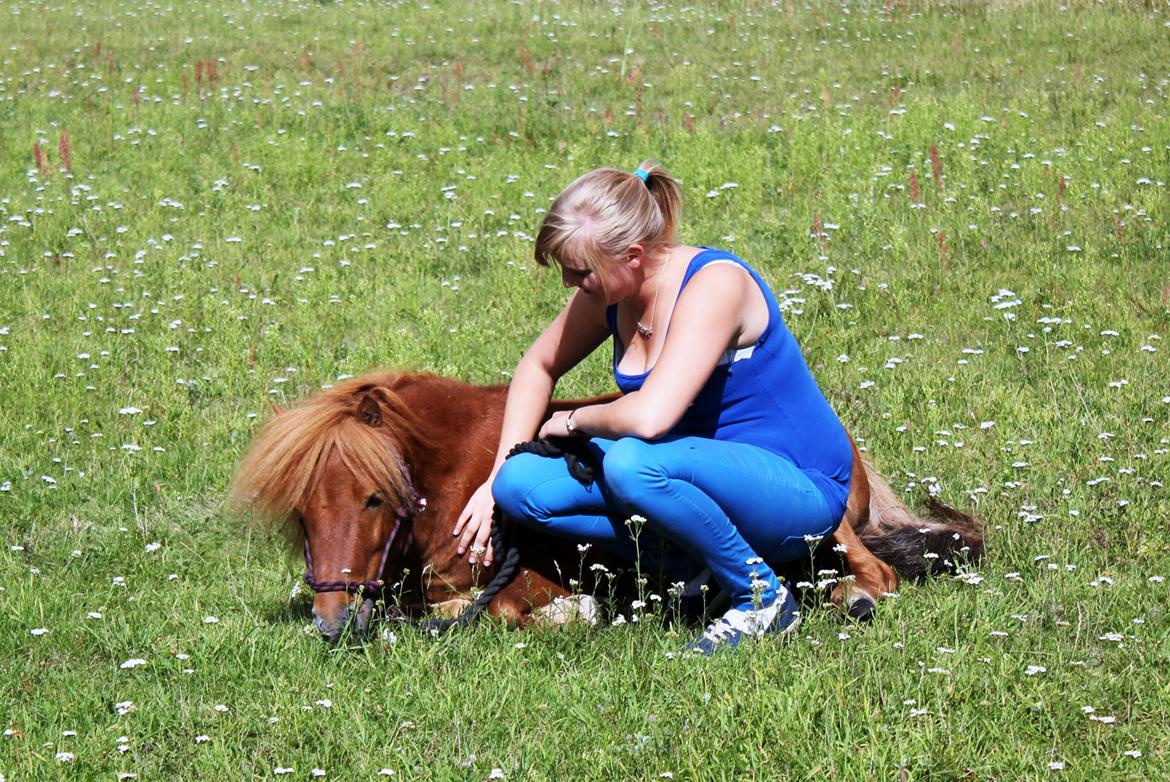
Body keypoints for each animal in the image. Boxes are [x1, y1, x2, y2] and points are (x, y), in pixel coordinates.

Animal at [229, 371, 983, 642]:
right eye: (302, 513)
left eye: (373, 498)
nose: (332, 625)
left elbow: (499, 610)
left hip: (824, 530)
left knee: (875, 576)